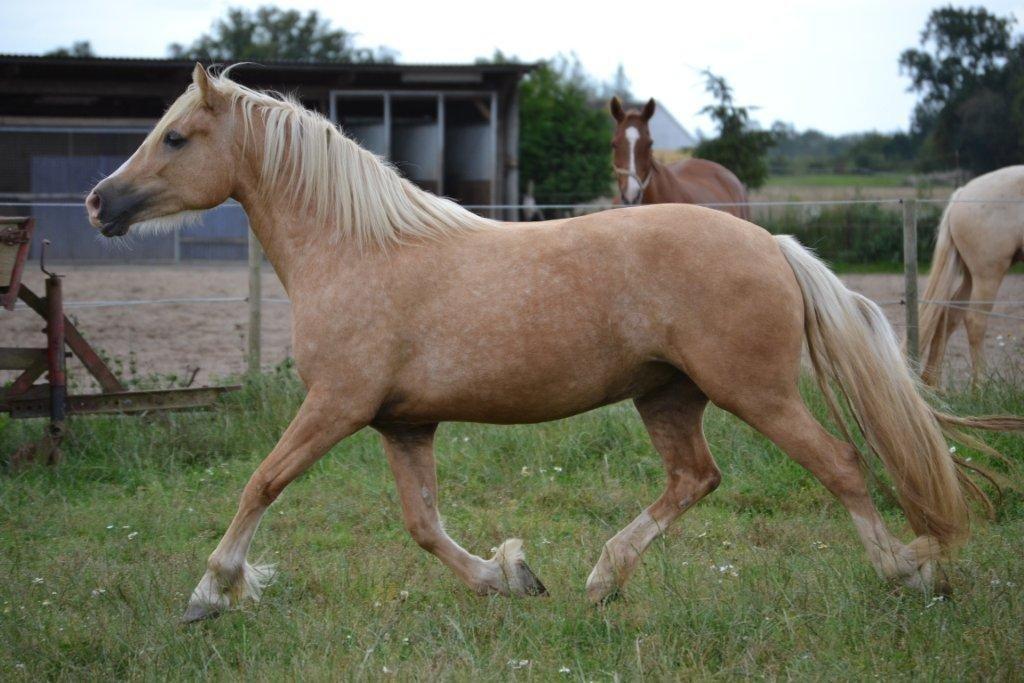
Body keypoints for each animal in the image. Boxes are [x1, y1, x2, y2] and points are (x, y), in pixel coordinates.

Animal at [921, 165, 1024, 387]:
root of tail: (962, 194)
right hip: (987, 275)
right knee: (975, 320)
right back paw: (980, 386)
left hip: (970, 276)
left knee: (950, 314)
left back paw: (932, 383)